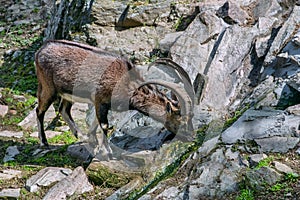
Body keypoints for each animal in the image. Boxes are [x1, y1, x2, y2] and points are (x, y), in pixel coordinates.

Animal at [35, 40, 193, 147]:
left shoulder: (100, 104)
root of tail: (41, 50)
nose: (191, 137)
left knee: (64, 109)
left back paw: (80, 136)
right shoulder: (100, 101)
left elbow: (96, 123)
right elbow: (104, 125)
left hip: (68, 93)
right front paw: (108, 152)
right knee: (39, 110)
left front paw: (93, 141)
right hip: (48, 87)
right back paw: (44, 142)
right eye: (181, 120)